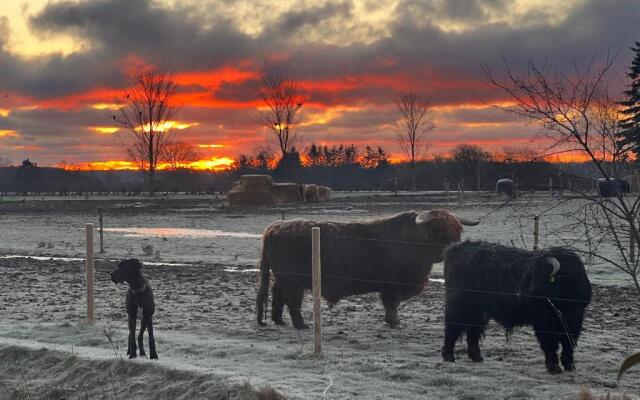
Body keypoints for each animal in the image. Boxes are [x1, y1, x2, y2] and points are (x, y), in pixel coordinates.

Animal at [442, 241, 592, 376]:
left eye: (537, 275)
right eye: (532, 274)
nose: (521, 293)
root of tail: (456, 249)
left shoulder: (575, 321)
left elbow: (569, 343)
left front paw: (569, 365)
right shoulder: (544, 322)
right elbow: (550, 344)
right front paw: (554, 367)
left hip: (479, 312)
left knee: (473, 331)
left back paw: (477, 357)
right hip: (459, 307)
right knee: (452, 328)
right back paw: (449, 356)